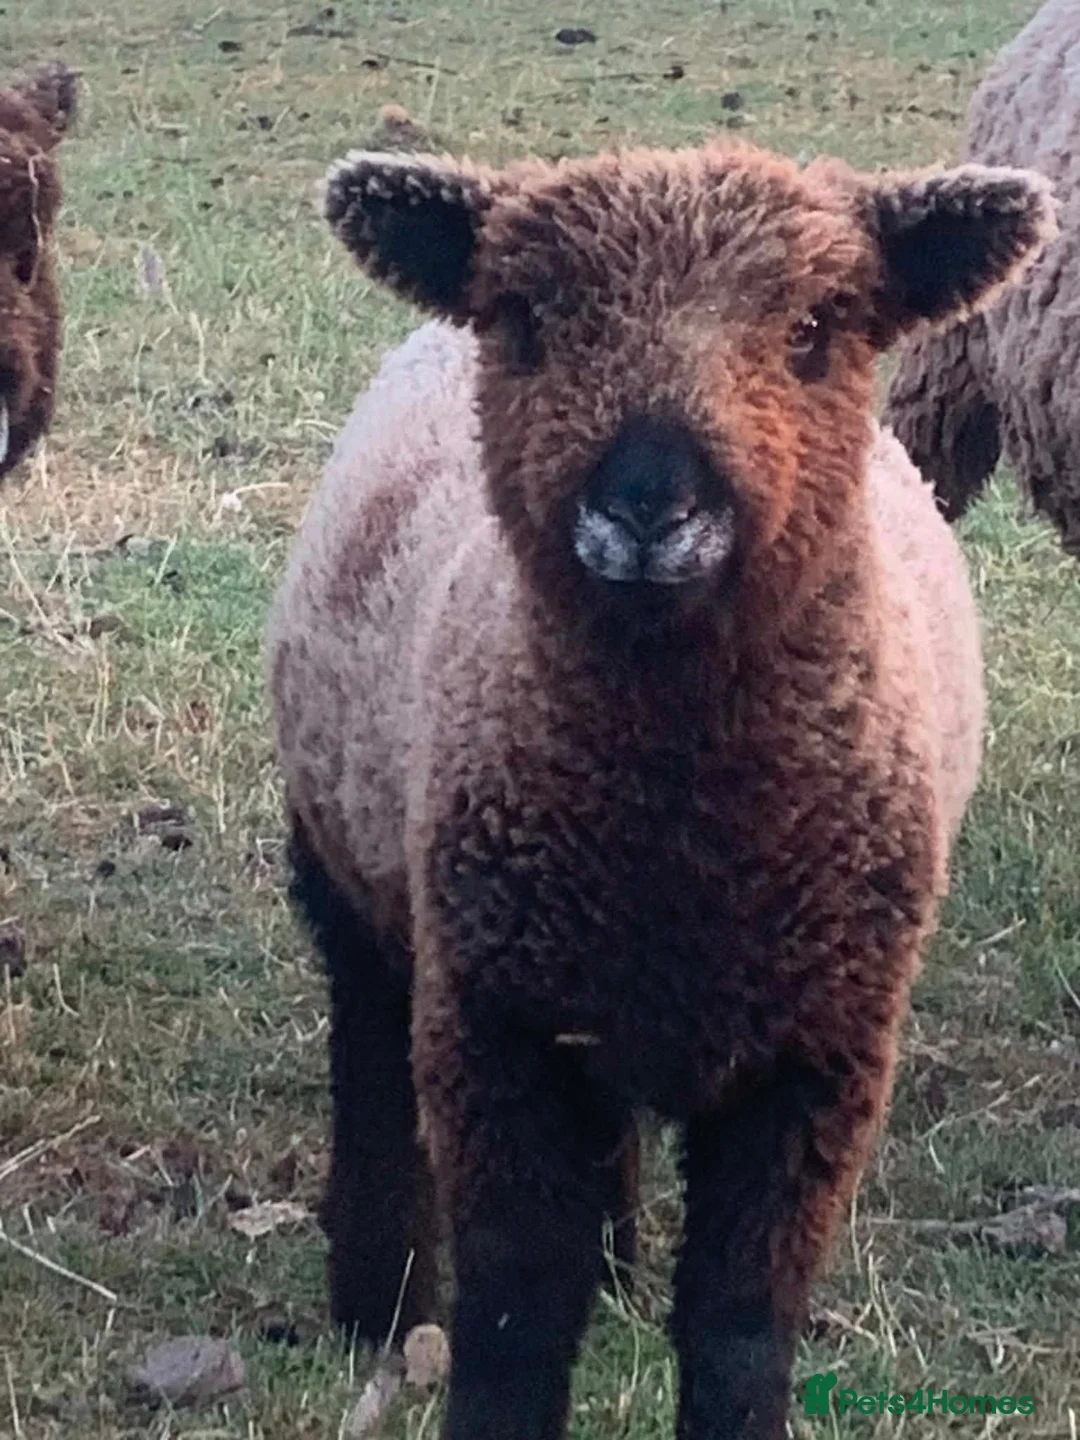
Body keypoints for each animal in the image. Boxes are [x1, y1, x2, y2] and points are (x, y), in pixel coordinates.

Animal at [268, 137, 1052, 1439]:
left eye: (817, 329)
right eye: (527, 321)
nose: (647, 499)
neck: (680, 836)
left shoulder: (819, 1061)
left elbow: (740, 1324)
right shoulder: (496, 1025)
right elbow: (516, 1313)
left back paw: (620, 1269)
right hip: (359, 876)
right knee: (370, 1065)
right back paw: (379, 1302)